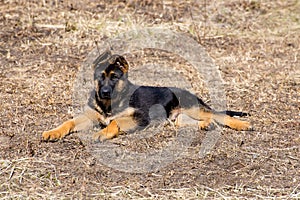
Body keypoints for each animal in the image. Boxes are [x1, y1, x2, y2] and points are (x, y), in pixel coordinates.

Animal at [42, 50, 252, 141]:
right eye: (100, 77)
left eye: (115, 77)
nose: (104, 92)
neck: (109, 105)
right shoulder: (90, 117)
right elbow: (69, 122)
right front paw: (53, 132)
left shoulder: (140, 118)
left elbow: (115, 122)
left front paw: (102, 133)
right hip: (178, 117)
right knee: (194, 121)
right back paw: (205, 126)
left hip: (195, 109)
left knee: (220, 116)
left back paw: (243, 125)